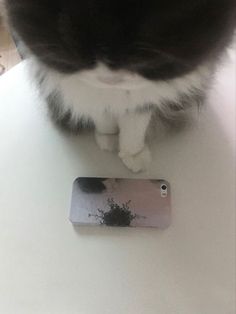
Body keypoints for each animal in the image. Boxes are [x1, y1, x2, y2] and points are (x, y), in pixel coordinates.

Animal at [4, 0, 236, 172]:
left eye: (141, 61)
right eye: (81, 59)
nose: (109, 77)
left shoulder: (144, 97)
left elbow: (134, 127)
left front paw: (133, 155)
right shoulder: (90, 92)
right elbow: (103, 117)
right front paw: (108, 139)